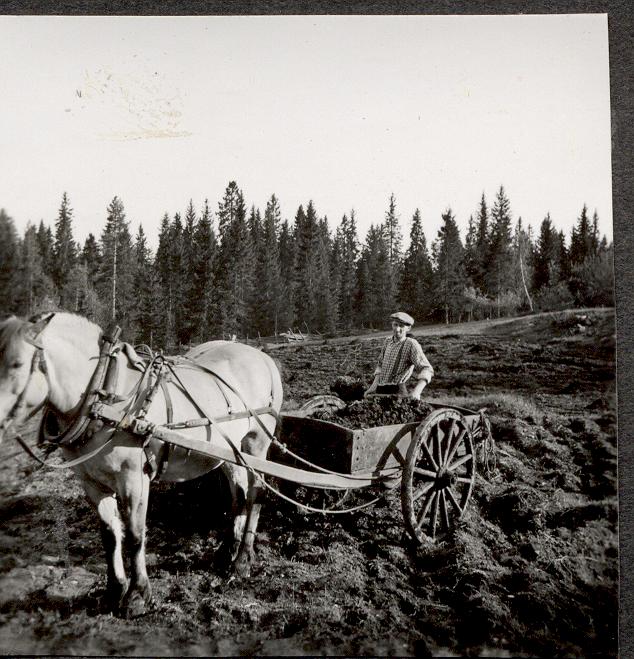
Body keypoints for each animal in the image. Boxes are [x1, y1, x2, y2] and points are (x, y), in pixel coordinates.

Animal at [0, 312, 283, 617]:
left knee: (255, 494)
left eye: (18, 364)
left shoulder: (133, 479)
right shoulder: (91, 482)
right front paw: (114, 591)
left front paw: (137, 595)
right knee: (238, 493)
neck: (104, 397)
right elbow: (110, 535)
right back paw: (226, 551)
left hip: (256, 444)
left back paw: (242, 560)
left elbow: (135, 535)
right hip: (228, 450)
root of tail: (262, 357)